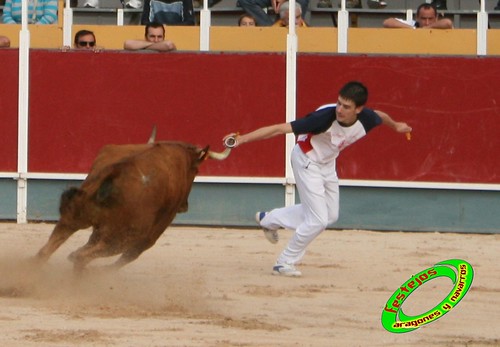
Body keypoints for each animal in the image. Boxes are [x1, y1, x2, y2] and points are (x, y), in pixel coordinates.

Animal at [35, 140, 230, 274]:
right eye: (196, 171)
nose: (184, 206)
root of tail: (115, 172)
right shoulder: (153, 231)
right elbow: (130, 255)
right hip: (126, 235)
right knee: (90, 255)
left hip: (75, 215)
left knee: (48, 248)